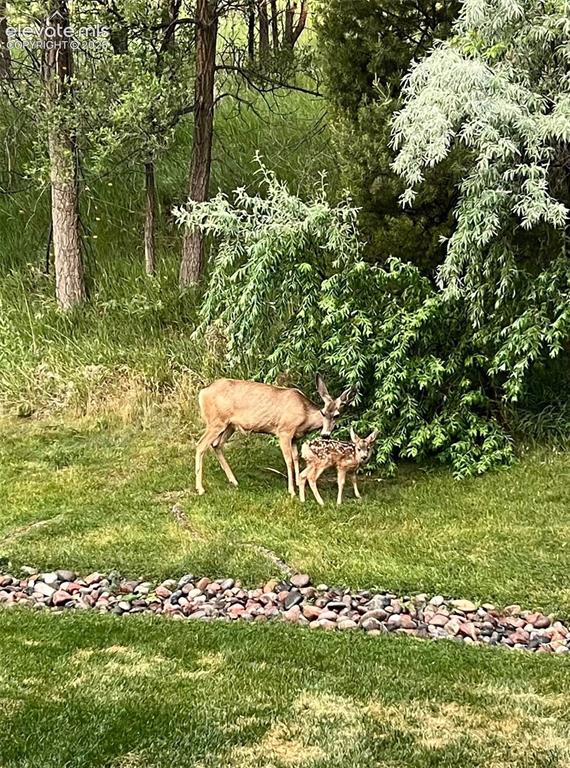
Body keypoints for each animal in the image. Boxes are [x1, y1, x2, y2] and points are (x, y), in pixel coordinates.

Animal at [195, 374, 355, 496]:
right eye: (323, 412)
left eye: (337, 415)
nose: (325, 435)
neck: (305, 415)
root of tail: (203, 392)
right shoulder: (284, 431)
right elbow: (288, 460)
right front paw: (292, 491)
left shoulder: (295, 437)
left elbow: (296, 458)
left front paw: (298, 483)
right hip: (216, 421)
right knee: (201, 445)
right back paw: (200, 489)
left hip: (229, 425)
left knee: (216, 444)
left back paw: (233, 481)